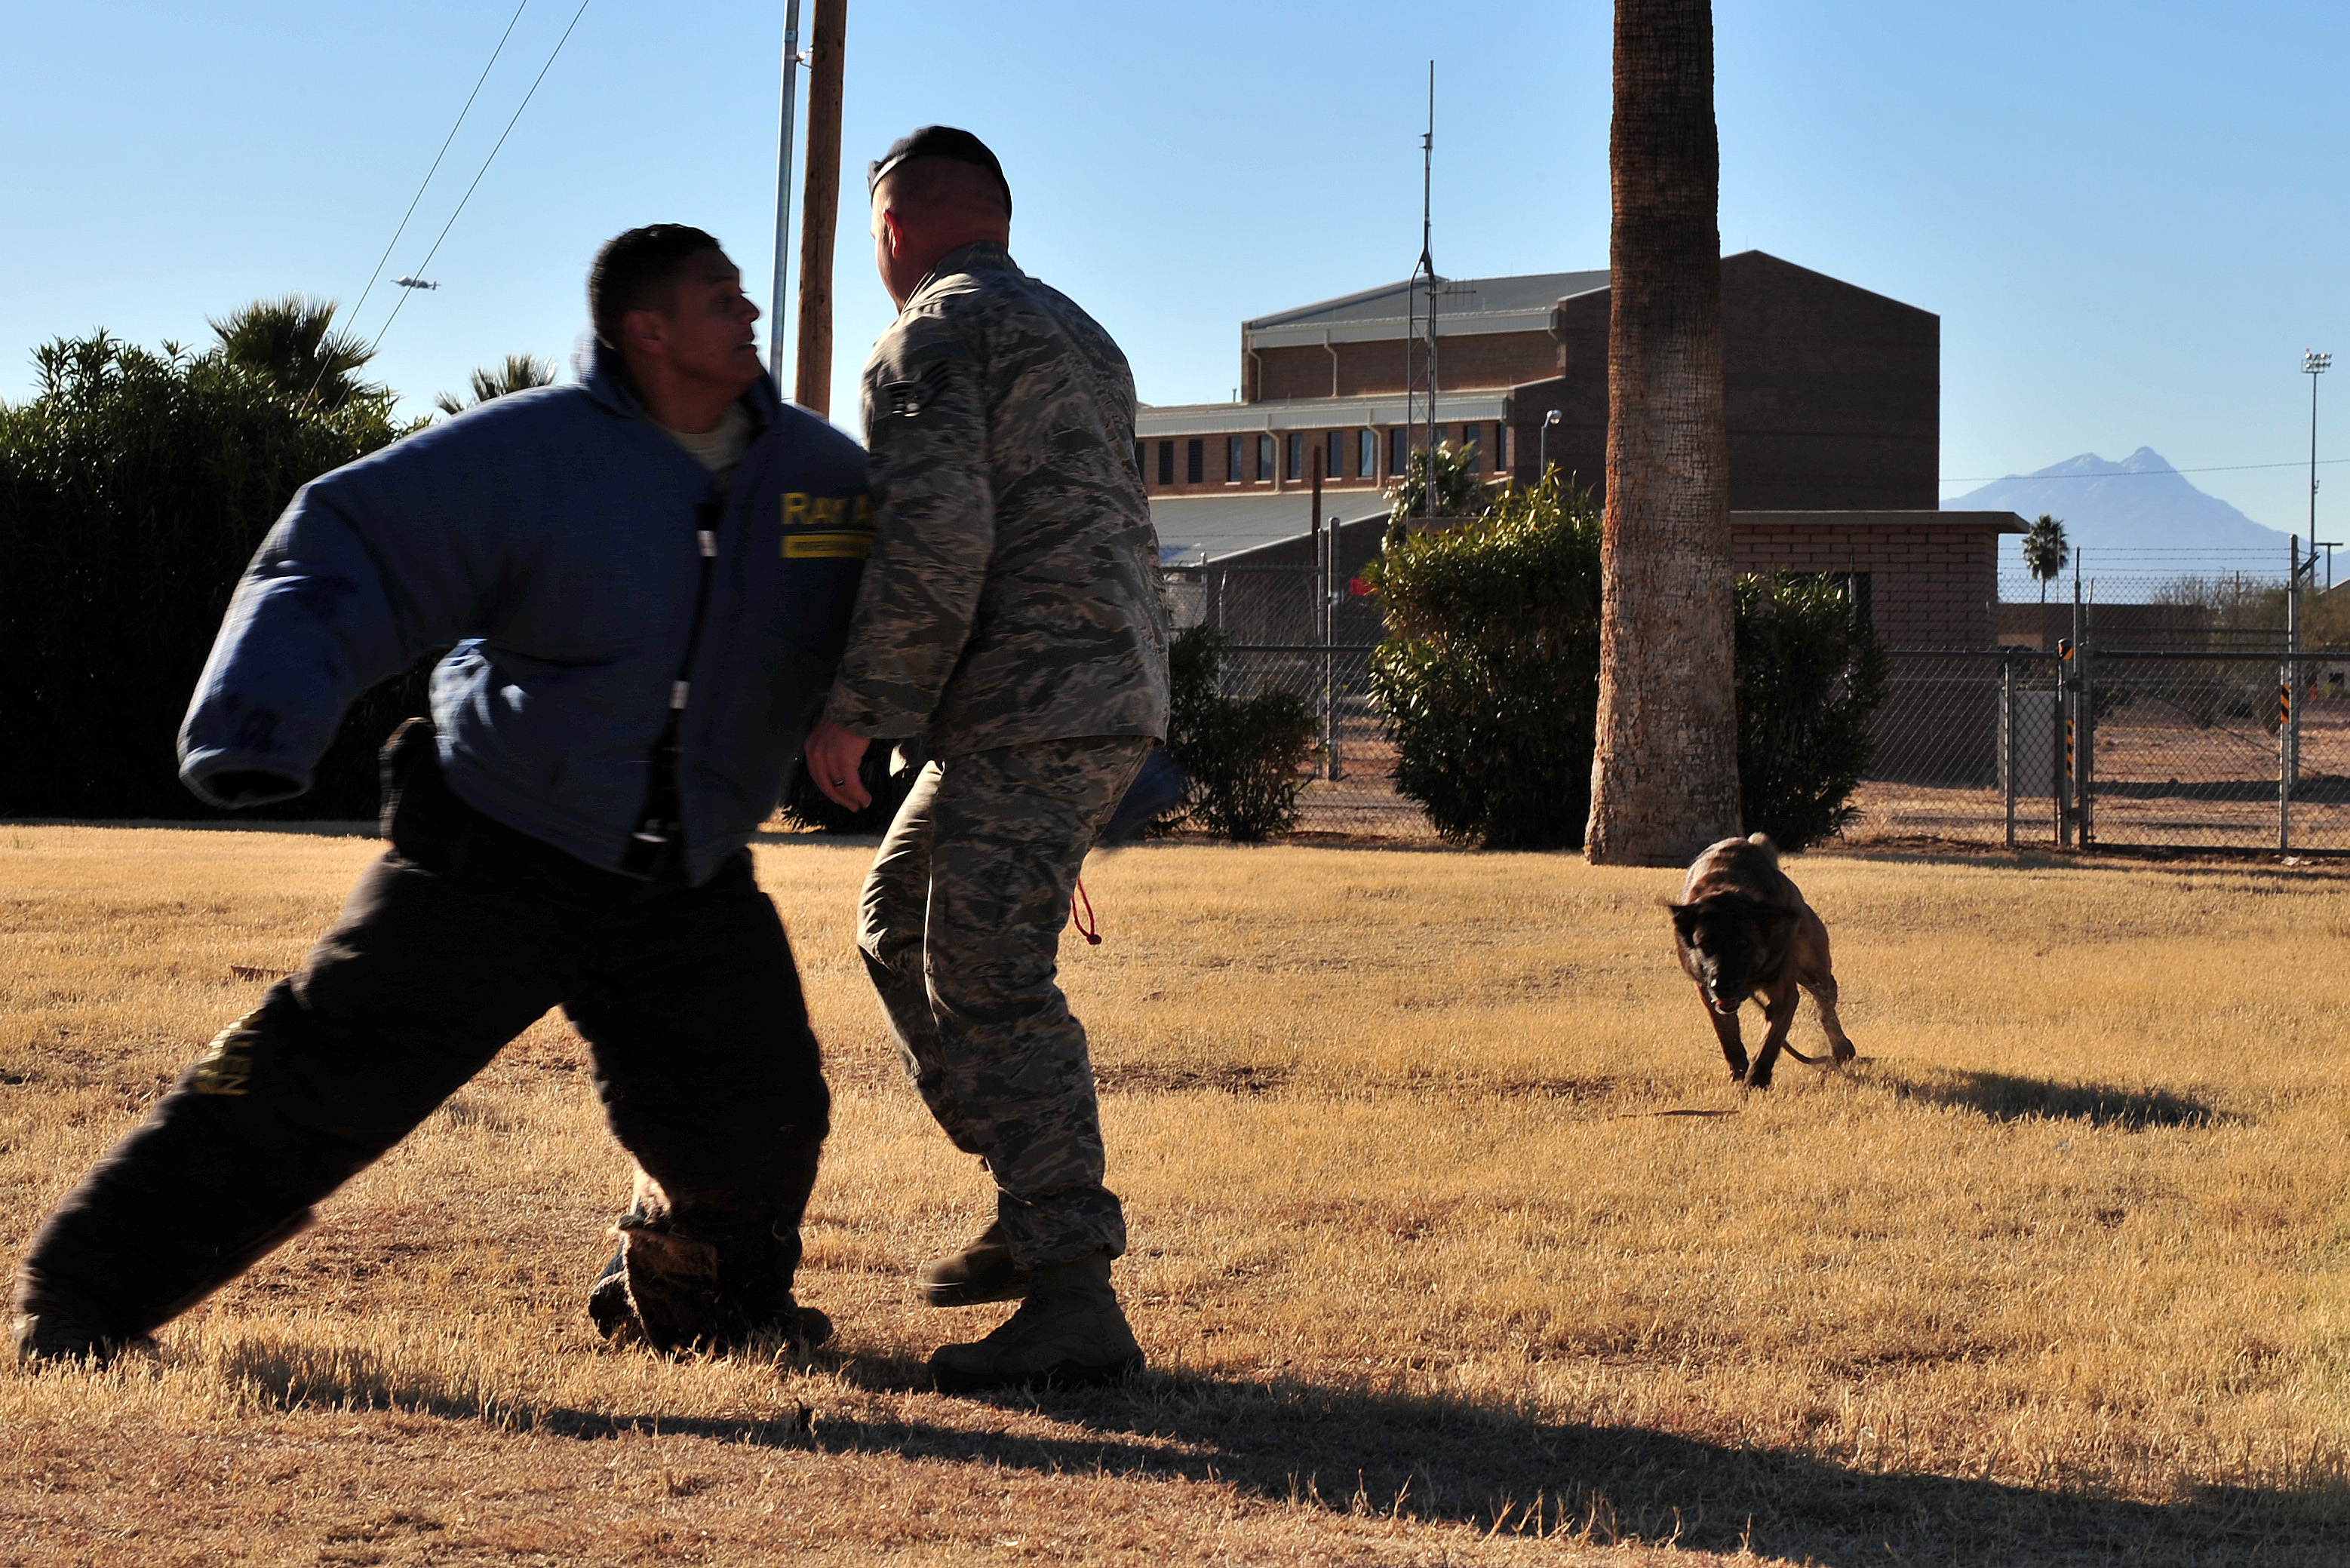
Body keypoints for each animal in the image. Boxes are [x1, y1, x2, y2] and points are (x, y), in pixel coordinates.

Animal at [1673, 832, 1851, 1091]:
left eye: (1743, 944)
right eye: (1705, 946)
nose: (1723, 986)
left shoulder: (1784, 995)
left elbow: (1770, 1042)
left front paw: (1756, 1079)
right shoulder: (1707, 992)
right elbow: (1728, 1036)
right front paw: (1739, 1073)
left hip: (1812, 968)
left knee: (1826, 1002)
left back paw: (1842, 1048)